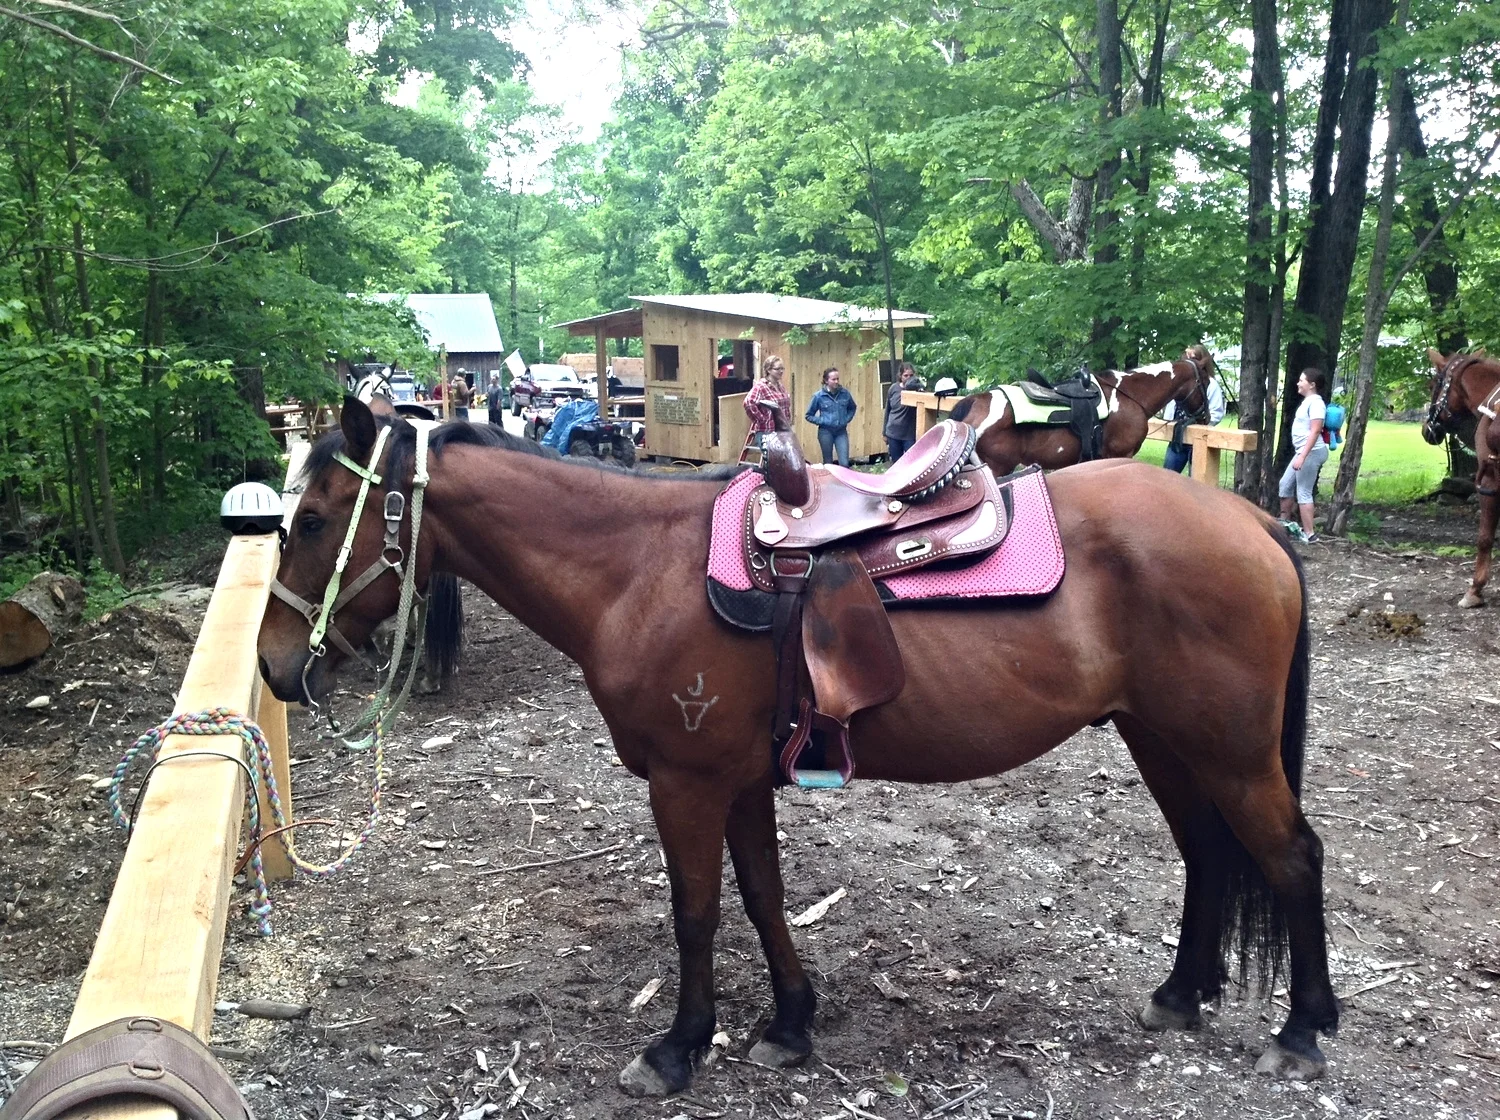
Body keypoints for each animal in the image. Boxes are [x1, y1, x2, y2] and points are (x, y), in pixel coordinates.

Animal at [258, 395, 1338, 1096]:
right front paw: (788, 1023)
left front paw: (679, 1048)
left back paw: (1301, 1030)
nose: (272, 664)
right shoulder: (737, 780)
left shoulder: (686, 782)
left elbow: (696, 913)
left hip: (1230, 749)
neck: (636, 571)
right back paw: (1181, 993)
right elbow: (763, 896)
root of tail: (1251, 520)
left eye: (309, 521)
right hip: (1165, 739)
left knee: (1291, 857)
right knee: (1208, 853)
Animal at [948, 351, 1215, 475]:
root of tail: (975, 401)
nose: (1207, 417)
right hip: (996, 468)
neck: (1130, 395)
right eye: (1206, 382)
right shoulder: (1120, 455)